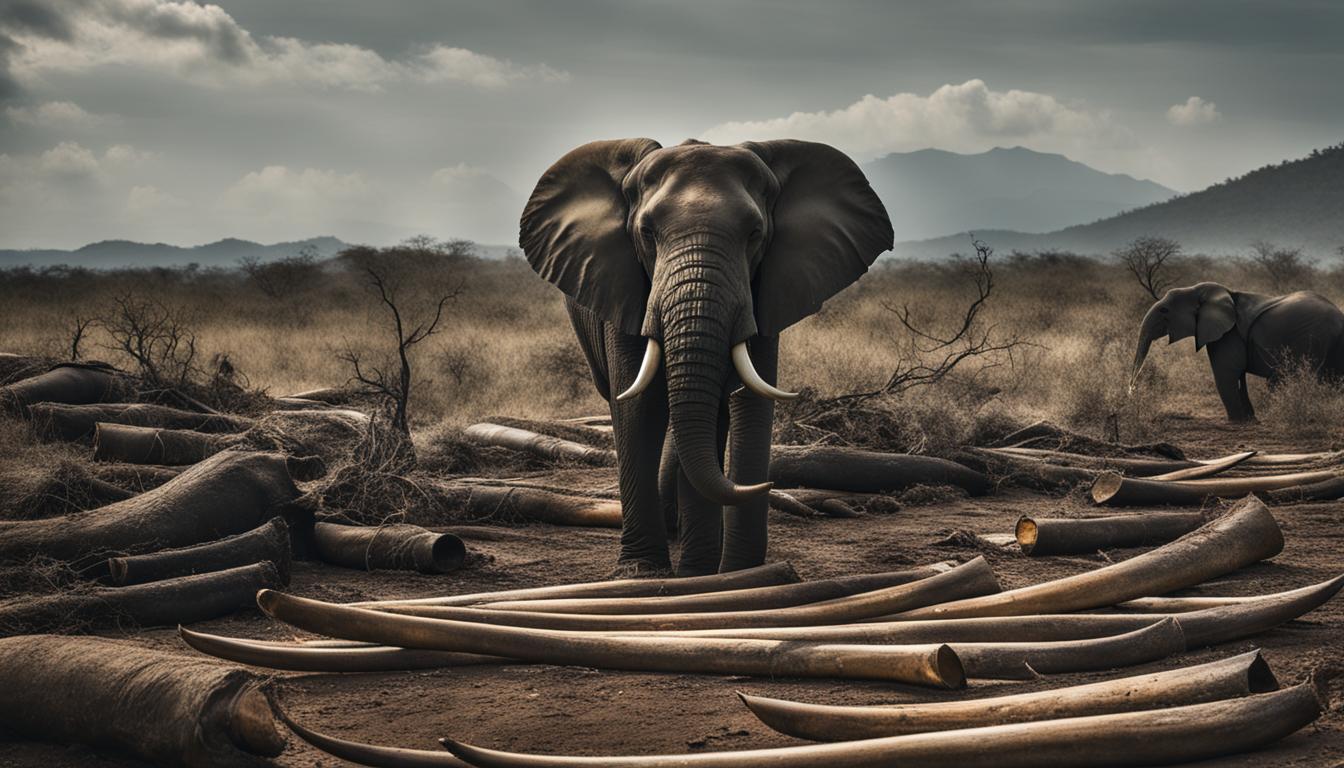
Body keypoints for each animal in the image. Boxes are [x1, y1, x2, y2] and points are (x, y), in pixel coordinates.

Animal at [520, 138, 892, 575]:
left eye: (755, 234)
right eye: (647, 234)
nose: (767, 484)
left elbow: (736, 405)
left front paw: (709, 573)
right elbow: (639, 408)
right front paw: (643, 572)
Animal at [1130, 282, 1344, 421]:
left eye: (1164, 311)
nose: (1130, 391)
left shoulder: (1227, 333)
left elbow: (1227, 373)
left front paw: (1238, 421)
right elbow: (1238, 375)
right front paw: (1250, 420)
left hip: (1311, 339)